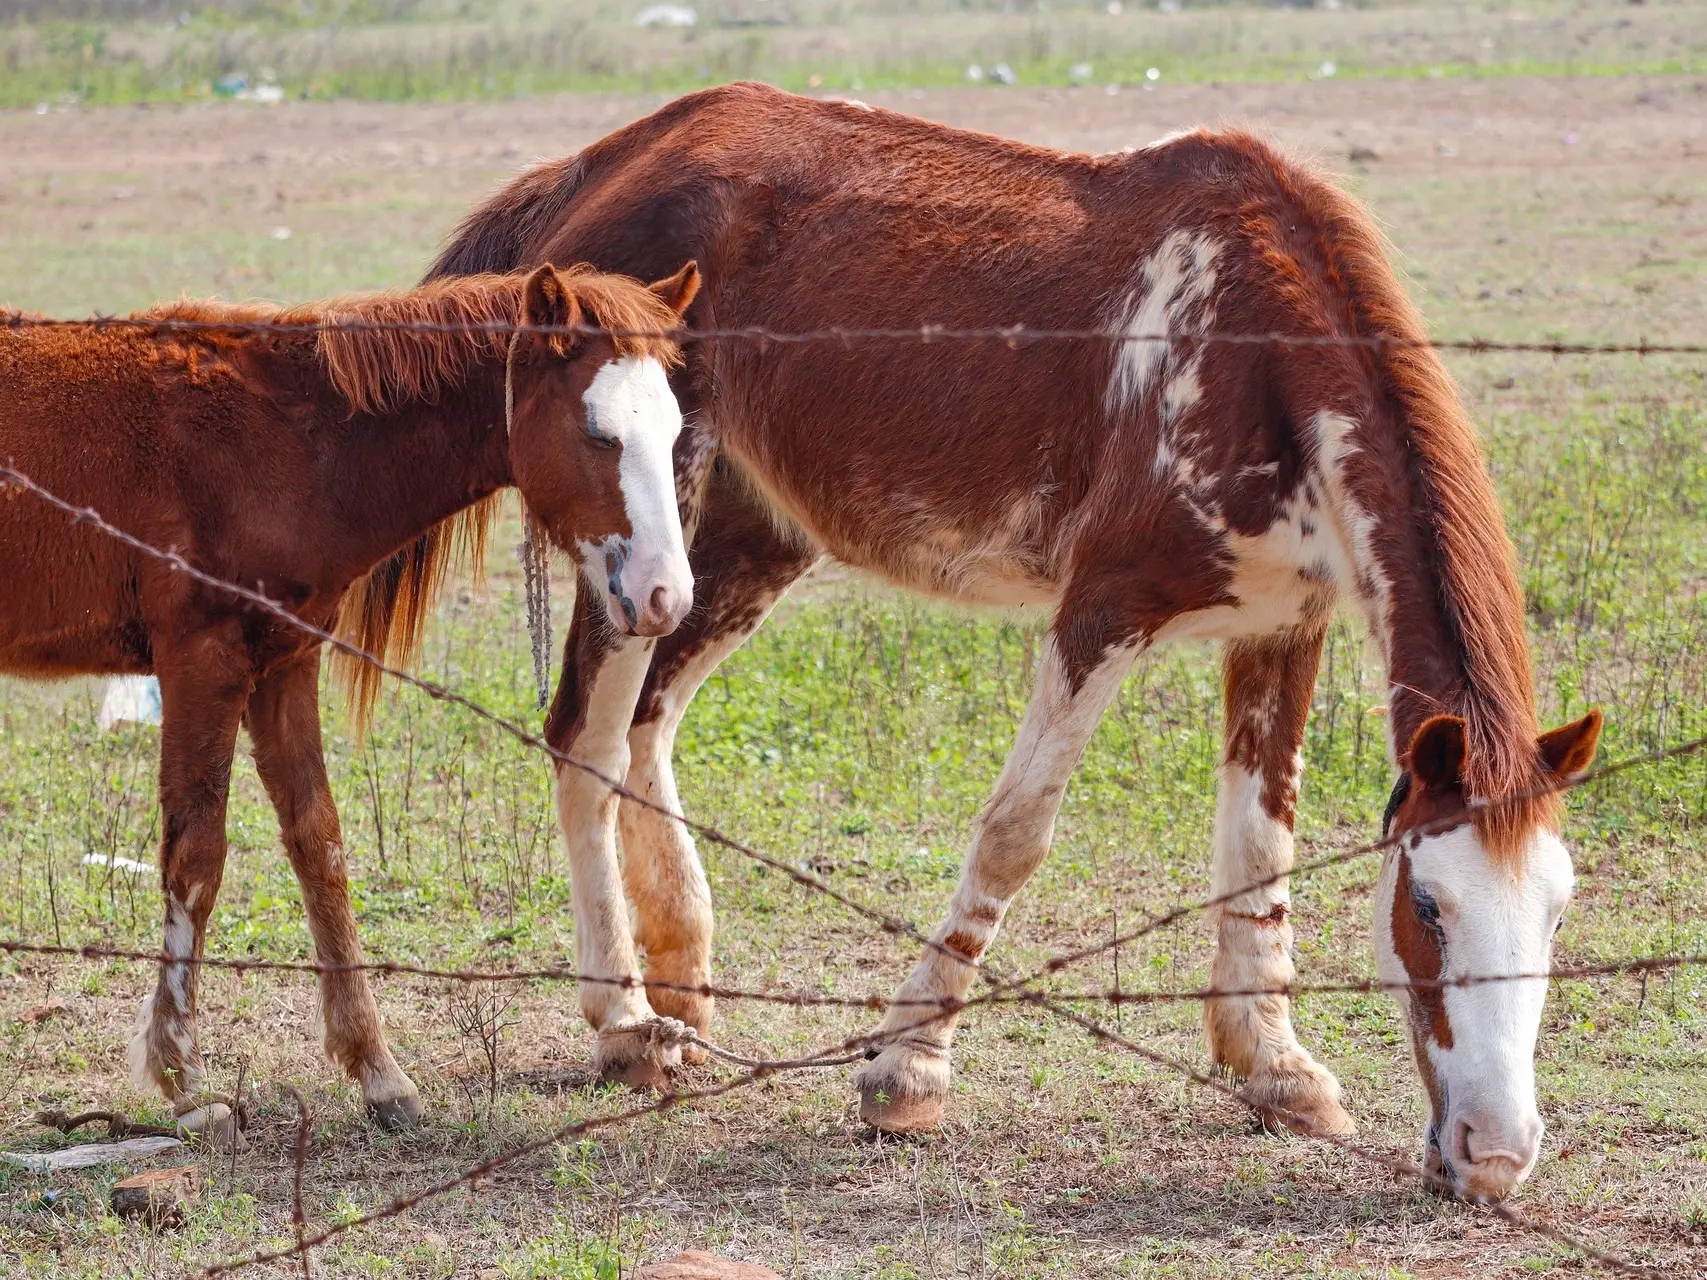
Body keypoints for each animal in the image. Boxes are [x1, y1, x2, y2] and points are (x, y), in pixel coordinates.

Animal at [1, 261, 699, 1140]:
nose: (666, 597)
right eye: (599, 434)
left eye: (673, 433)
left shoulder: (284, 663)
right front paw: (182, 1081)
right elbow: (196, 856)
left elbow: (319, 845)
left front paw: (378, 1072)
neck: (286, 442)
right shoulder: (201, 660)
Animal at [377, 82, 1597, 1201]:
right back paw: (626, 1021)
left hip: (736, 539)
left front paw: (1275, 1066)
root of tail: (597, 166)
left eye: (1556, 910)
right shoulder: (1103, 611)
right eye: (1428, 907)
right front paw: (907, 1068)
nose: (1496, 1155)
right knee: (586, 735)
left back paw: (682, 973)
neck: (1252, 354)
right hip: (636, 535)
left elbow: (1261, 845)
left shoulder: (1281, 623)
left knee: (647, 724)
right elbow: (1016, 834)